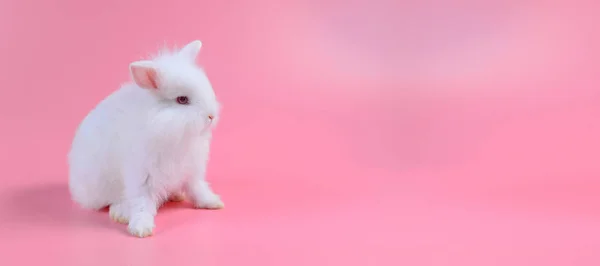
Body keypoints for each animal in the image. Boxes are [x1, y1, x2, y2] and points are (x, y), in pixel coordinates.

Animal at [68, 40, 223, 238]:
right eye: (182, 99)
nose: (211, 116)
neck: (172, 133)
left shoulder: (191, 171)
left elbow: (198, 189)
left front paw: (213, 203)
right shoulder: (142, 177)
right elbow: (141, 203)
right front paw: (141, 229)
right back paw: (120, 214)